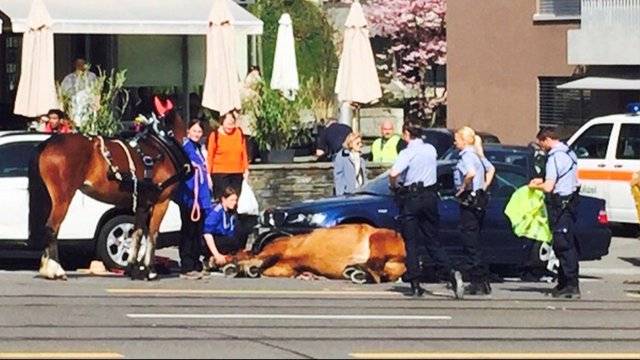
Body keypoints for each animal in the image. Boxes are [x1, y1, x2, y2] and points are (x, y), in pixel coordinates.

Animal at [27, 99, 191, 282]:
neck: (160, 146)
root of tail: (49, 143)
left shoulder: (142, 204)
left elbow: (137, 232)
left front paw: (134, 267)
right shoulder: (162, 201)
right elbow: (152, 234)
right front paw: (149, 270)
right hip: (62, 198)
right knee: (52, 228)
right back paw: (56, 270)